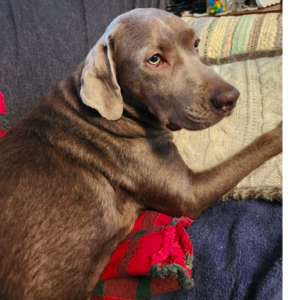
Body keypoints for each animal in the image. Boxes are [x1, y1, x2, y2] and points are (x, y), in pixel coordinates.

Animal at [0, 8, 282, 298]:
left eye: (196, 43)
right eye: (155, 60)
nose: (231, 97)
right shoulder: (190, 193)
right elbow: (252, 149)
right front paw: (279, 130)